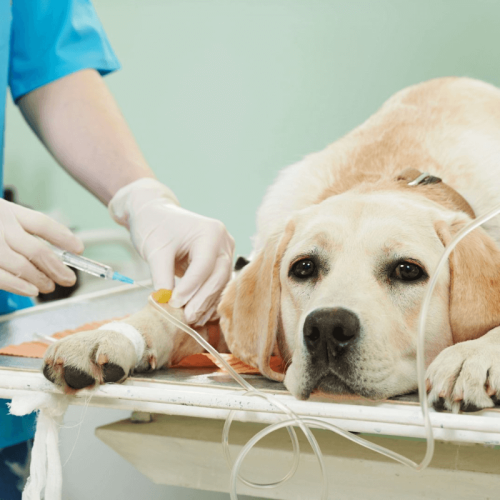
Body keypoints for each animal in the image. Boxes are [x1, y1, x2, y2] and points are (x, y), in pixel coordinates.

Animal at [42, 77, 500, 414]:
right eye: (304, 268)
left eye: (408, 270)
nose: (327, 328)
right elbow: (174, 312)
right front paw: (108, 335)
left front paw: (472, 355)